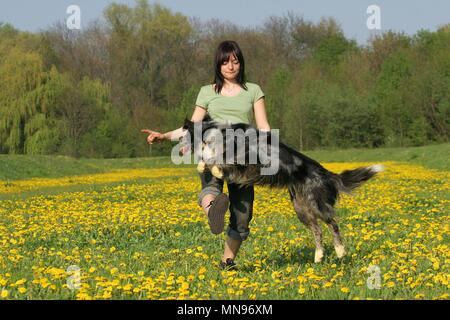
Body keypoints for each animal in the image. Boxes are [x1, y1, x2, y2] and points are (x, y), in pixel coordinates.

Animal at [180, 115, 384, 262]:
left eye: (183, 137)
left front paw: (213, 165)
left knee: (333, 224)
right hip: (301, 208)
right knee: (317, 230)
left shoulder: (248, 156)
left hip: (317, 203)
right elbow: (212, 159)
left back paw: (340, 251)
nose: (179, 150)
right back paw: (319, 256)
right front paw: (206, 165)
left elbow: (223, 158)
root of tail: (327, 173)